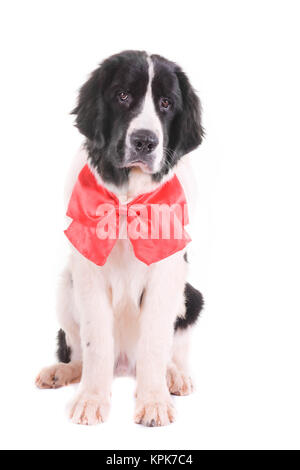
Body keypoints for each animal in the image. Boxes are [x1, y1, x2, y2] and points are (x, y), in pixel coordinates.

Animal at [34, 50, 204, 426]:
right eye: (123, 96)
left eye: (166, 103)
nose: (145, 141)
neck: (127, 202)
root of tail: (126, 365)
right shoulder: (88, 272)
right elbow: (96, 341)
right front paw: (91, 400)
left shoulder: (167, 273)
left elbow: (155, 341)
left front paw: (154, 402)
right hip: (65, 286)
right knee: (79, 351)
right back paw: (62, 372)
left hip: (192, 298)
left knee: (170, 352)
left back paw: (174, 376)